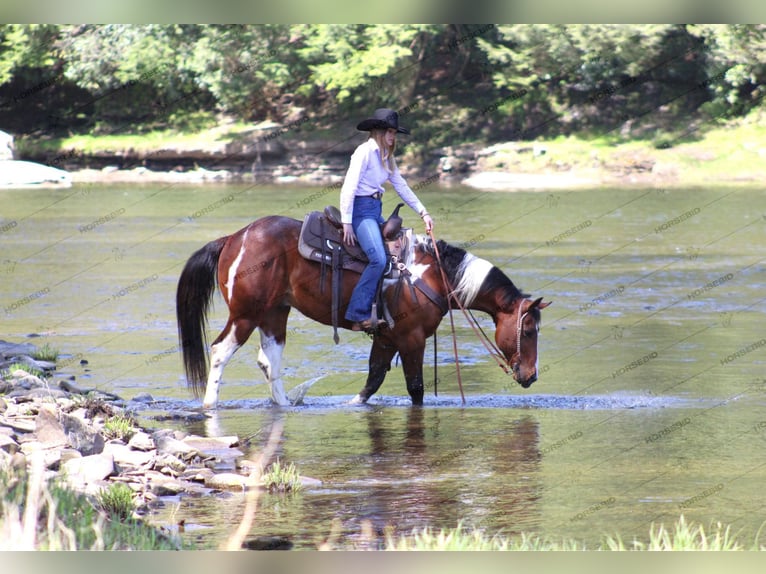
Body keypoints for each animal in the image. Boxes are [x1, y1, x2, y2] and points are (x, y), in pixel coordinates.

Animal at [176, 216, 552, 410]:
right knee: (221, 350)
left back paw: (284, 404)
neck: (430, 274)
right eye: (528, 330)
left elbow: (372, 380)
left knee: (270, 358)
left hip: (274, 313)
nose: (531, 376)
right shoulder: (411, 338)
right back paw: (210, 405)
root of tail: (234, 238)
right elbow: (415, 388)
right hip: (246, 314)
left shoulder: (386, 338)